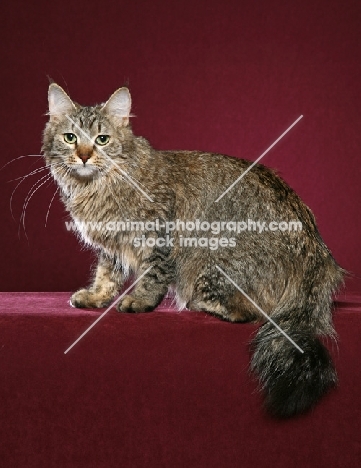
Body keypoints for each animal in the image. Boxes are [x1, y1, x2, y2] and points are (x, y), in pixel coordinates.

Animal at [42, 83, 344, 416]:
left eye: (102, 139)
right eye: (71, 138)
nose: (83, 156)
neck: (95, 187)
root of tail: (318, 255)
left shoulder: (157, 235)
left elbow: (152, 275)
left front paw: (141, 301)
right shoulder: (112, 247)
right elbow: (106, 273)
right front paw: (98, 297)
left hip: (211, 260)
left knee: (251, 312)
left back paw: (201, 305)